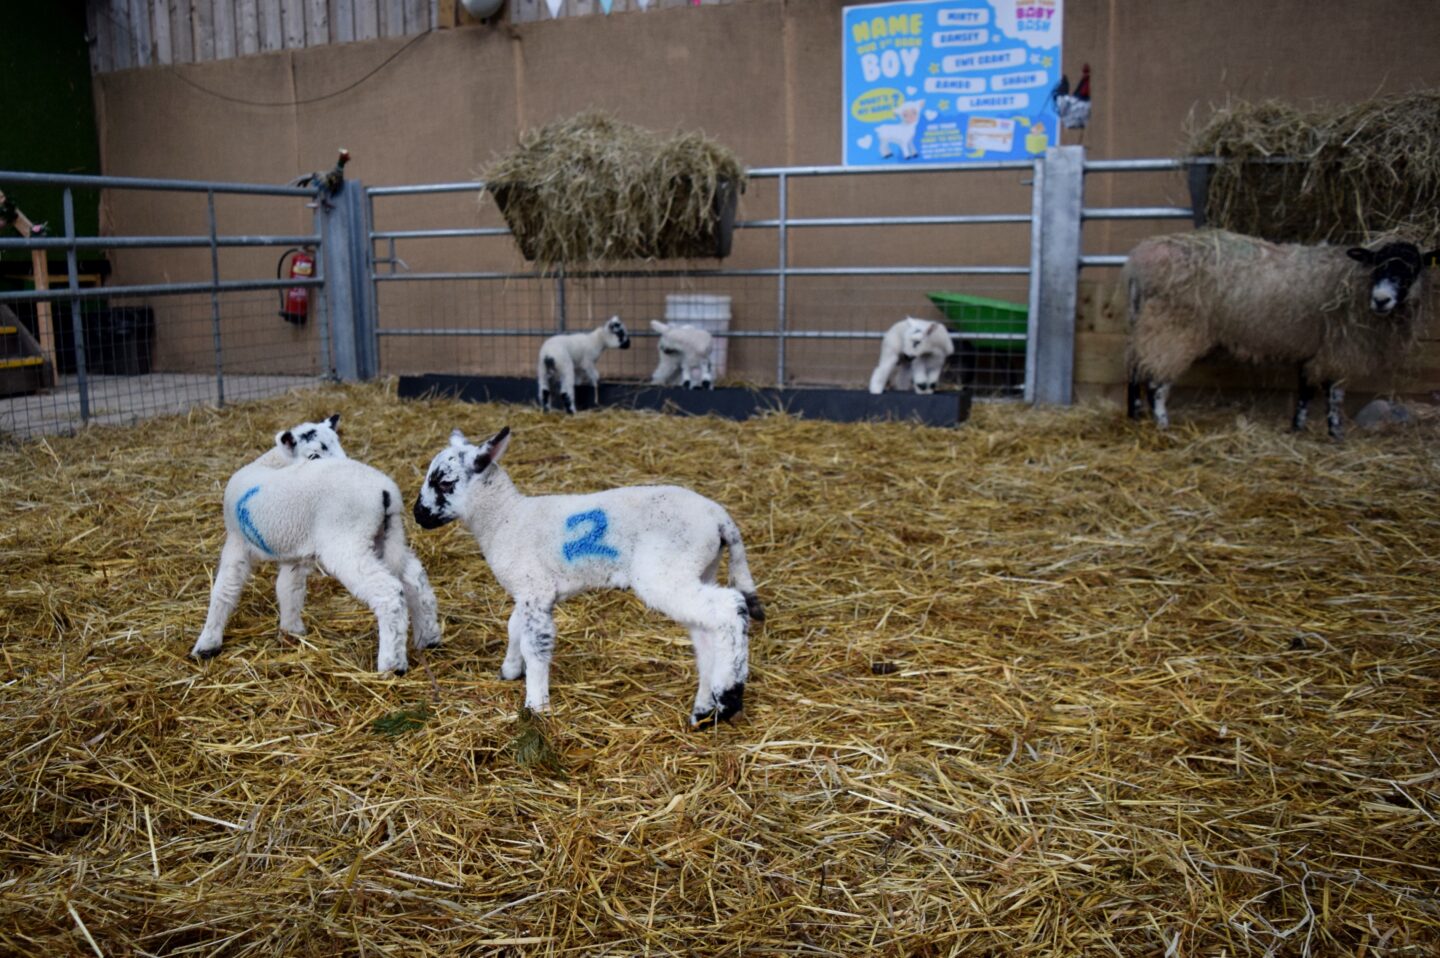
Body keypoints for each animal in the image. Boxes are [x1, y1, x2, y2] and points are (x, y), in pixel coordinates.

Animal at [191, 422, 441, 675]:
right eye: (313, 455)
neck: (270, 464)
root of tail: (385, 491)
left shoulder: (237, 542)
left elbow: (225, 589)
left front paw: (207, 643)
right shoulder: (293, 553)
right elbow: (288, 589)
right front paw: (291, 629)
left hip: (346, 542)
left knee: (389, 591)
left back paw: (392, 664)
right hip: (387, 536)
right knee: (414, 579)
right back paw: (428, 637)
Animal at [413, 426, 765, 727]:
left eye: (444, 483)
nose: (418, 515)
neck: (505, 518)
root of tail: (720, 518)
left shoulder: (536, 590)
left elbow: (534, 646)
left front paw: (536, 707)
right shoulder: (528, 591)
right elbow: (514, 626)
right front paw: (510, 670)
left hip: (666, 572)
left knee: (731, 608)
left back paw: (729, 696)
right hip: (696, 571)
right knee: (709, 634)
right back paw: (704, 710)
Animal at [1124, 230, 1438, 439]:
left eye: (1412, 269)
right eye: (1378, 265)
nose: (1382, 300)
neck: (1354, 284)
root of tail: (1139, 261)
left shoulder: (1315, 346)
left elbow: (1306, 388)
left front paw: (1299, 427)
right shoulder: (1338, 347)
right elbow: (1333, 393)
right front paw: (1334, 432)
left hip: (1146, 324)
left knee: (1135, 370)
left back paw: (1135, 416)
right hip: (1173, 328)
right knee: (1156, 382)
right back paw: (1162, 425)